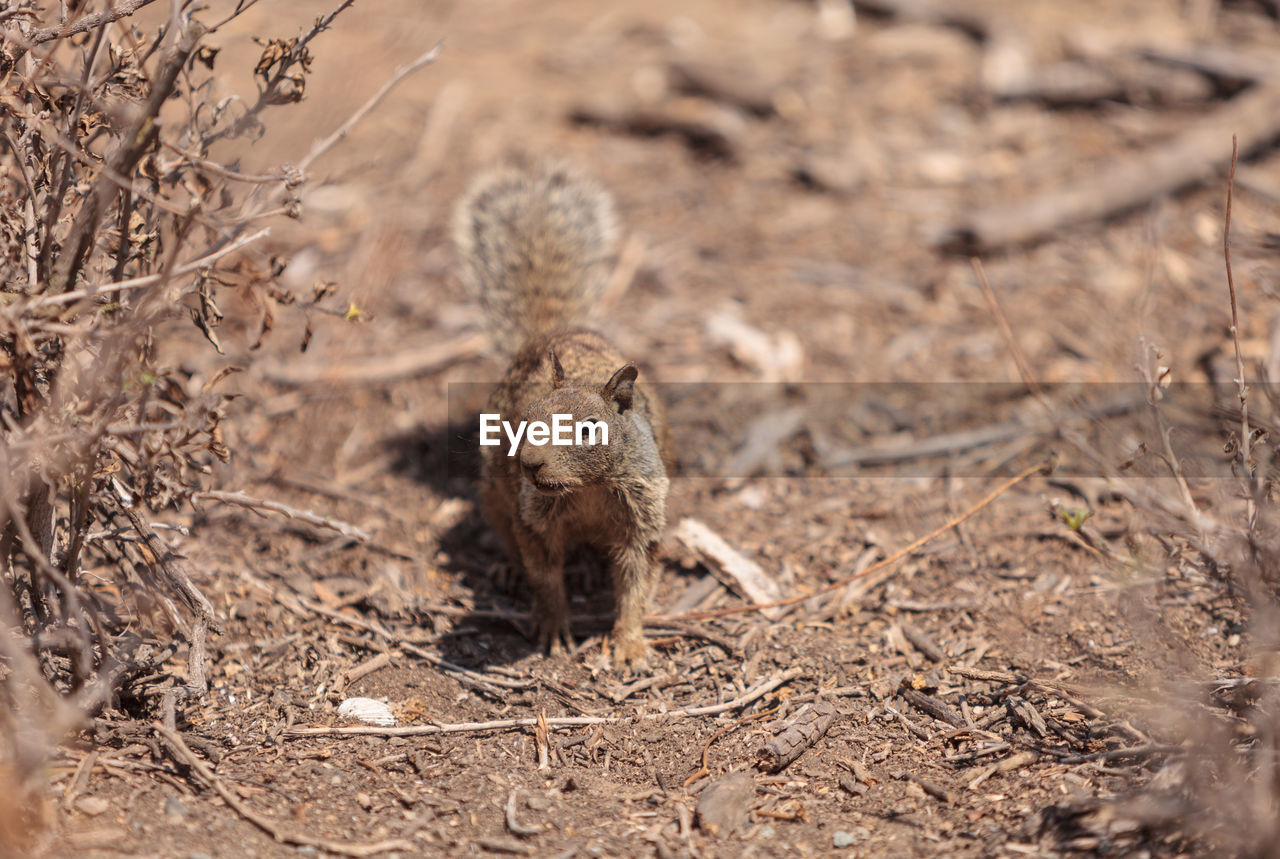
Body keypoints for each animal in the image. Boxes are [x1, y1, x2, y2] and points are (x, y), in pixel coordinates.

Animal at [455, 161, 670, 670]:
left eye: (591, 429)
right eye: (523, 419)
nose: (529, 464)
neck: (588, 489)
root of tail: (554, 330)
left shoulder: (643, 519)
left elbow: (635, 587)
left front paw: (630, 645)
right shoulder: (534, 519)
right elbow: (545, 577)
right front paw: (553, 628)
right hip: (495, 495)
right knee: (506, 532)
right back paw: (507, 570)